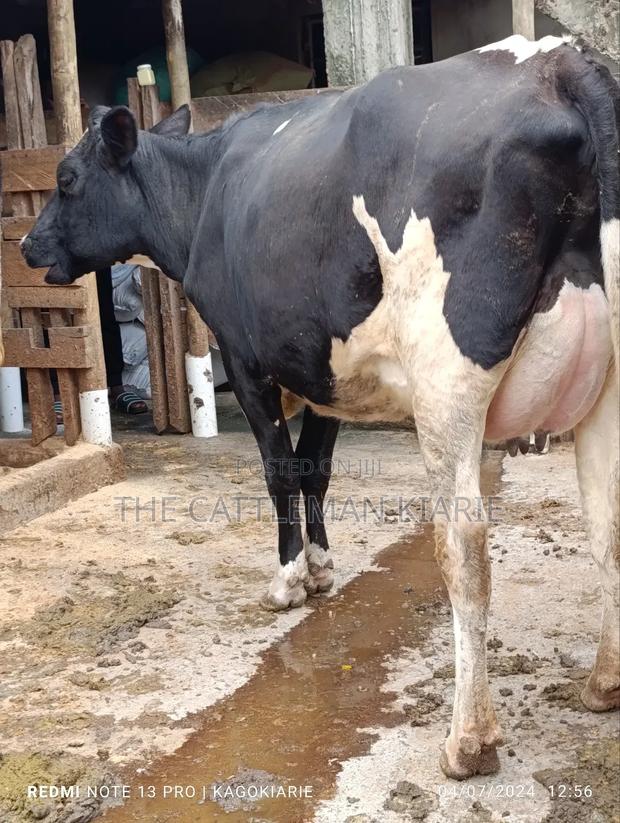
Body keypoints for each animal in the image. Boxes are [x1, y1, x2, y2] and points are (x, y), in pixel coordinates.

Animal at [21, 35, 619, 779]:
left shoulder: (246, 359)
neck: (207, 193)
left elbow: (280, 471)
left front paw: (288, 581)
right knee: (607, 519)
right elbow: (317, 469)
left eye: (67, 177)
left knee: (466, 546)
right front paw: (323, 566)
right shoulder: (326, 370)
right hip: (605, 383)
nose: (26, 244)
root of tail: (557, 59)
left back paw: (469, 739)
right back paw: (604, 683)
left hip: (447, 378)